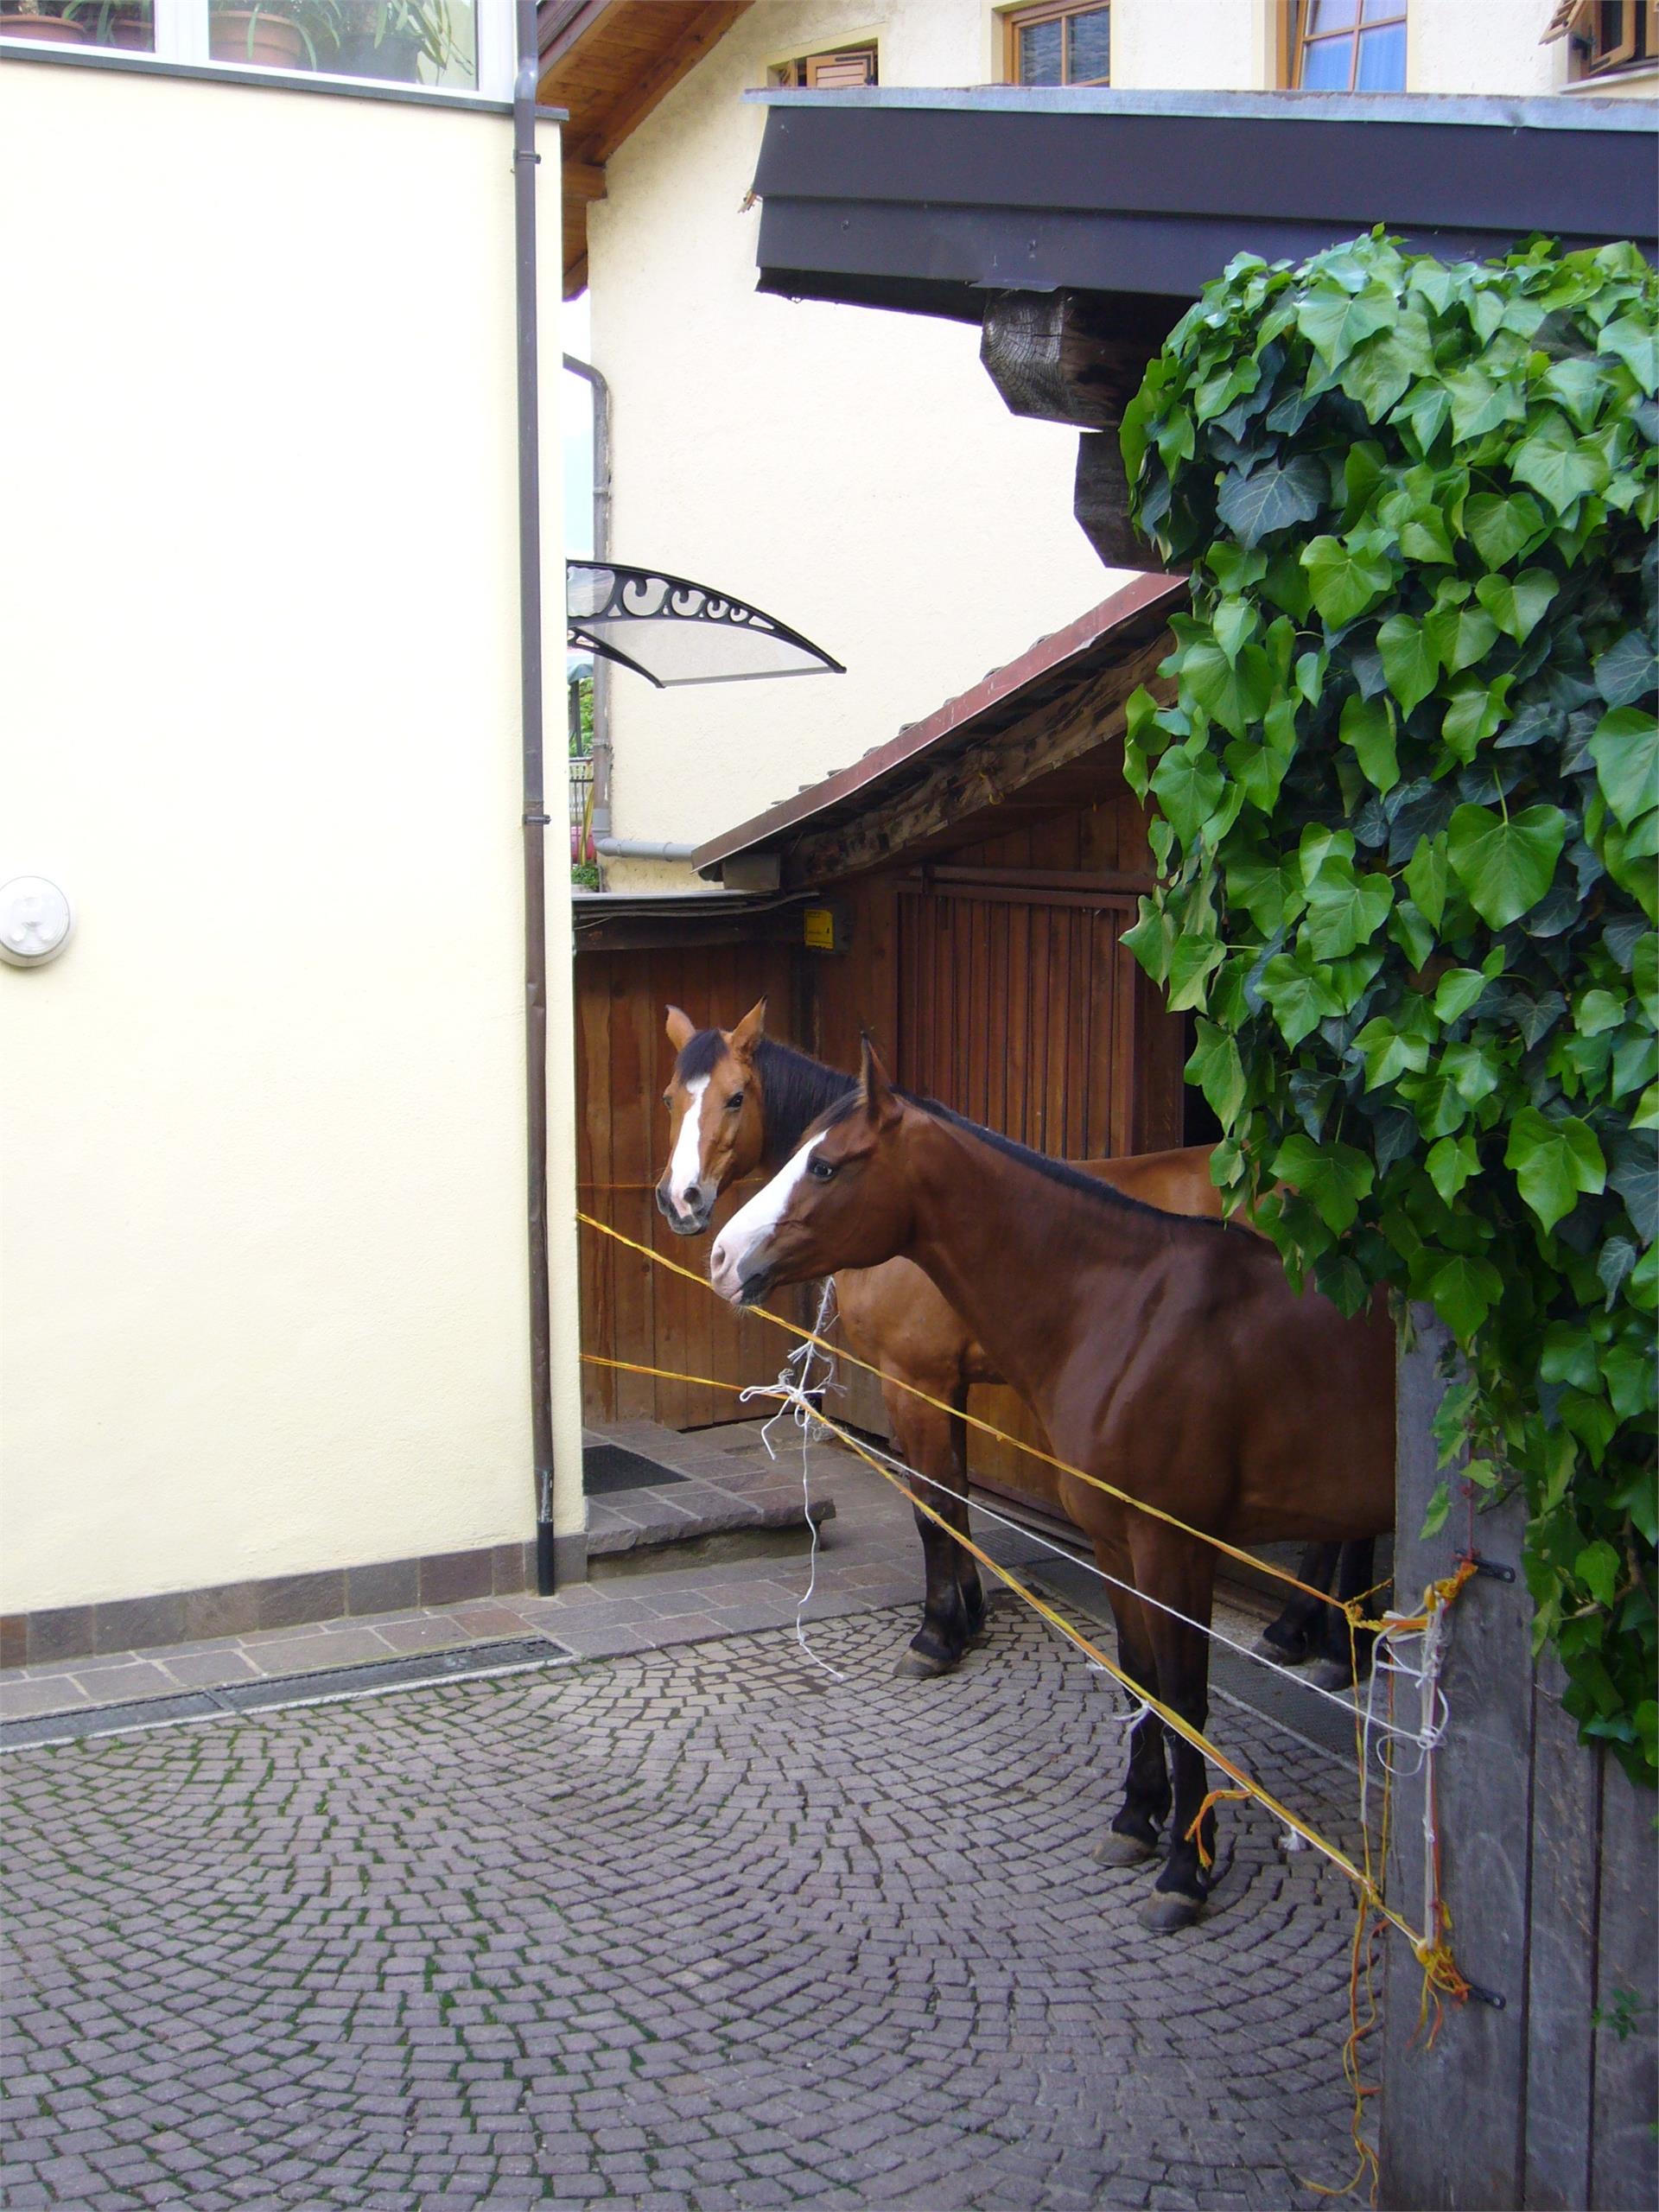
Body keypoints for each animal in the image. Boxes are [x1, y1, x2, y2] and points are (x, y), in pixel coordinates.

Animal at [716, 1044, 1407, 1929]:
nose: (720, 1254)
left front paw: (1185, 1868)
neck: (1126, 1312)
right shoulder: (1116, 1541)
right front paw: (1137, 1818)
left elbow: (1183, 1698)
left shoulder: (1173, 1547)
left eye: (827, 1165)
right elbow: (1138, 1676)